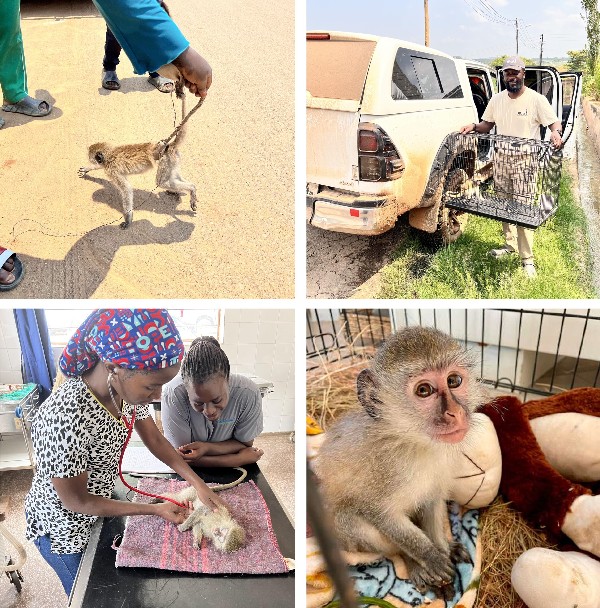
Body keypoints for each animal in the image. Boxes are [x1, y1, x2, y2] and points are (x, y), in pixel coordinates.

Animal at [77, 73, 198, 229]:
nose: (91, 161)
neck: (109, 154)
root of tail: (169, 146)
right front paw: (88, 169)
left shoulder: (112, 170)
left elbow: (127, 190)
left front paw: (128, 218)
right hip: (173, 159)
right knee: (172, 177)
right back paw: (183, 190)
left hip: (165, 160)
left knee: (162, 182)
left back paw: (191, 188)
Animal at [314, 328, 488, 600]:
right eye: (424, 390)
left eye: (453, 381)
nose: (456, 413)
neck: (415, 444)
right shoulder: (386, 471)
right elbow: (380, 513)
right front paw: (429, 557)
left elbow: (433, 501)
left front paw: (443, 548)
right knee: (352, 521)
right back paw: (411, 562)